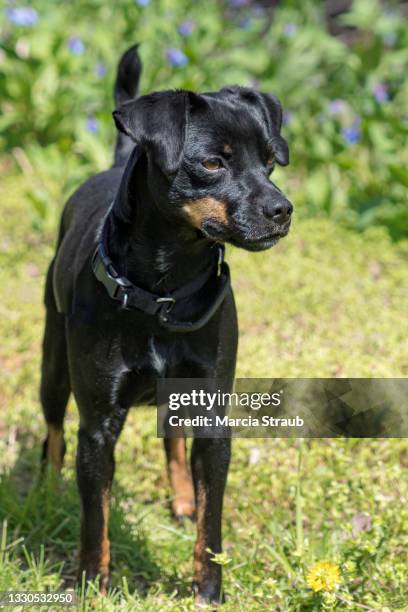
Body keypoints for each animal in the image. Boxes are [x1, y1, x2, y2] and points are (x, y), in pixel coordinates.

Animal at [39, 45, 292, 604]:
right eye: (212, 162)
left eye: (269, 161)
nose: (282, 209)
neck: (164, 291)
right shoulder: (98, 427)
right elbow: (95, 520)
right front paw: (91, 584)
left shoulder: (213, 418)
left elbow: (211, 523)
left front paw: (209, 591)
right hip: (54, 365)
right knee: (53, 429)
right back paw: (46, 487)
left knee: (173, 441)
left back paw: (181, 499)